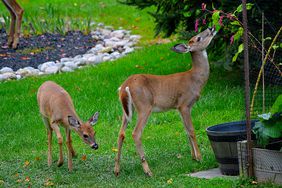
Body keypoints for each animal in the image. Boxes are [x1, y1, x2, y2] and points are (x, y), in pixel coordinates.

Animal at [114, 26, 216, 176]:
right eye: (198, 38)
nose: (211, 27)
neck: (195, 79)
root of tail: (125, 86)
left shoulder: (178, 107)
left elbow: (186, 130)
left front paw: (193, 157)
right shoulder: (185, 104)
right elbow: (191, 130)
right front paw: (199, 157)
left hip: (127, 109)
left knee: (121, 133)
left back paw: (117, 170)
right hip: (144, 106)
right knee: (136, 133)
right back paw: (148, 171)